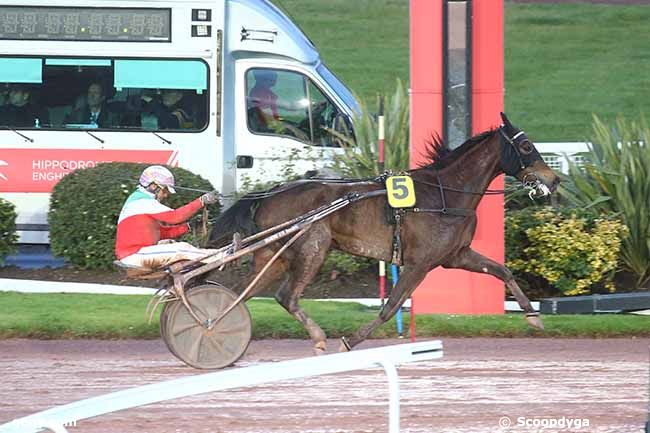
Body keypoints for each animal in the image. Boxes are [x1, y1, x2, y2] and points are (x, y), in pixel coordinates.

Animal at [208, 113, 556, 352]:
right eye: (526, 145)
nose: (554, 180)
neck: (443, 194)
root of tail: (269, 193)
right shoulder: (418, 264)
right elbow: (390, 307)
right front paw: (350, 341)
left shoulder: (456, 256)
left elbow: (502, 270)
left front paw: (533, 316)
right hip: (312, 247)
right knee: (285, 296)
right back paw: (317, 337)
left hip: (274, 255)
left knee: (239, 294)